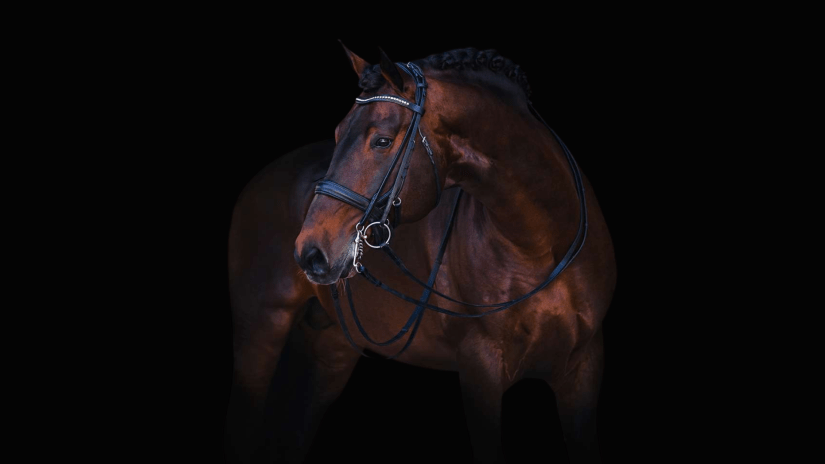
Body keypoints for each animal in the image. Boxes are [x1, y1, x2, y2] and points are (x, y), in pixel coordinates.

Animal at [225, 44, 616, 463]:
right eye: (337, 134)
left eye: (381, 141)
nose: (310, 252)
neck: (541, 246)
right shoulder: (480, 368)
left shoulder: (584, 369)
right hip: (260, 330)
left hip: (331, 348)